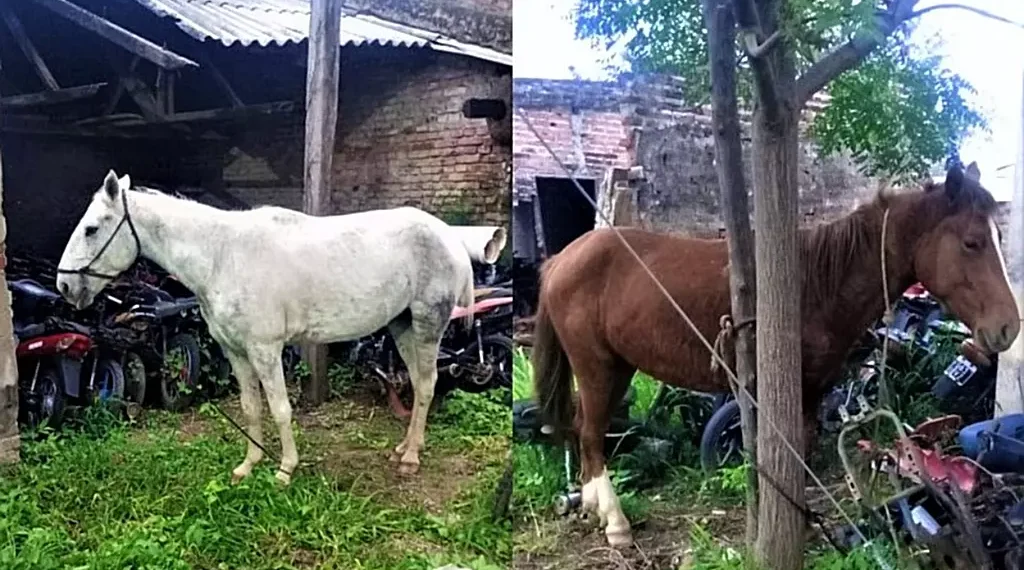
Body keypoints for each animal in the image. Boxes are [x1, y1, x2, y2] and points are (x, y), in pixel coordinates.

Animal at [56, 170, 476, 484]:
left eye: (91, 229)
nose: (63, 286)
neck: (223, 255)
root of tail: (449, 236)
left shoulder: (265, 349)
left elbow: (280, 408)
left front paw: (285, 469)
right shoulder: (236, 351)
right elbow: (251, 407)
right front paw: (248, 465)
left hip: (427, 325)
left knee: (427, 385)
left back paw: (411, 458)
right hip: (402, 326)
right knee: (419, 383)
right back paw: (405, 448)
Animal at [532, 162, 1020, 547]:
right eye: (973, 242)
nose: (1008, 327)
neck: (815, 285)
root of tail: (560, 260)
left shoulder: (811, 394)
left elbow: (801, 455)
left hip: (617, 367)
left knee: (586, 430)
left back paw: (591, 506)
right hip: (595, 365)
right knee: (591, 435)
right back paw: (615, 523)